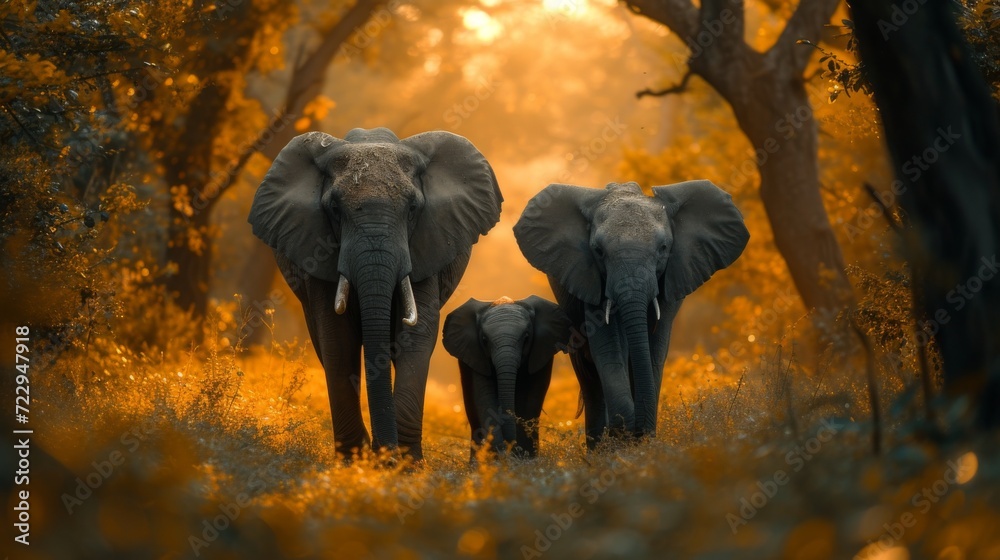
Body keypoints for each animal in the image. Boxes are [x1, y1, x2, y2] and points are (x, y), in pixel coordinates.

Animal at [248, 127, 502, 462]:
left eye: (413, 208)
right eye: (334, 209)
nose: (386, 454)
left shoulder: (425, 246)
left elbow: (415, 336)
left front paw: (404, 464)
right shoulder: (316, 248)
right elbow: (337, 338)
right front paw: (354, 462)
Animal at [442, 296, 571, 459]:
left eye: (526, 338)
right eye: (484, 340)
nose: (510, 447)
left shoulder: (542, 350)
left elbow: (530, 397)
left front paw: (523, 459)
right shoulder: (475, 353)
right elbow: (484, 395)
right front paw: (498, 459)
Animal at [513, 180, 748, 447]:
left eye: (663, 248)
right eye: (598, 251)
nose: (639, 434)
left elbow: (655, 347)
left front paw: (641, 443)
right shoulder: (590, 278)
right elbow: (608, 345)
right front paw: (623, 442)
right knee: (589, 375)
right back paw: (599, 448)